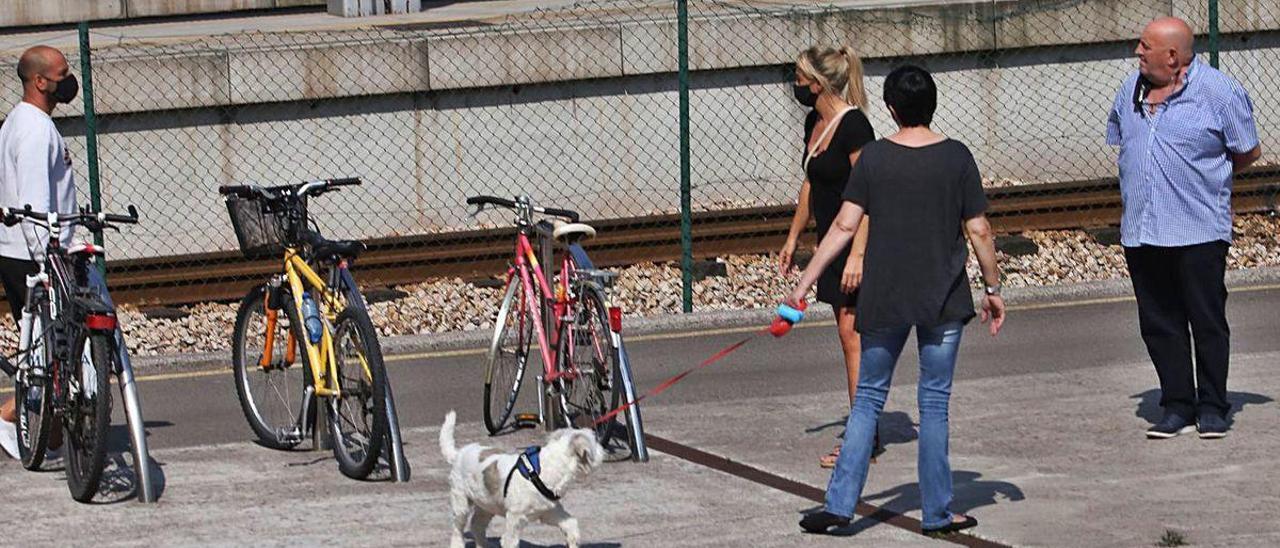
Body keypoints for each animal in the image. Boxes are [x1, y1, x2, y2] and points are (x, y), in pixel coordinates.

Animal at [437, 409, 601, 548]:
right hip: (461, 503)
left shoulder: (550, 512)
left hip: (486, 504)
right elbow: (510, 541)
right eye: (595, 441)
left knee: (477, 525)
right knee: (458, 529)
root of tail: (458, 453)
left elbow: (571, 525)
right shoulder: (515, 519)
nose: (602, 449)